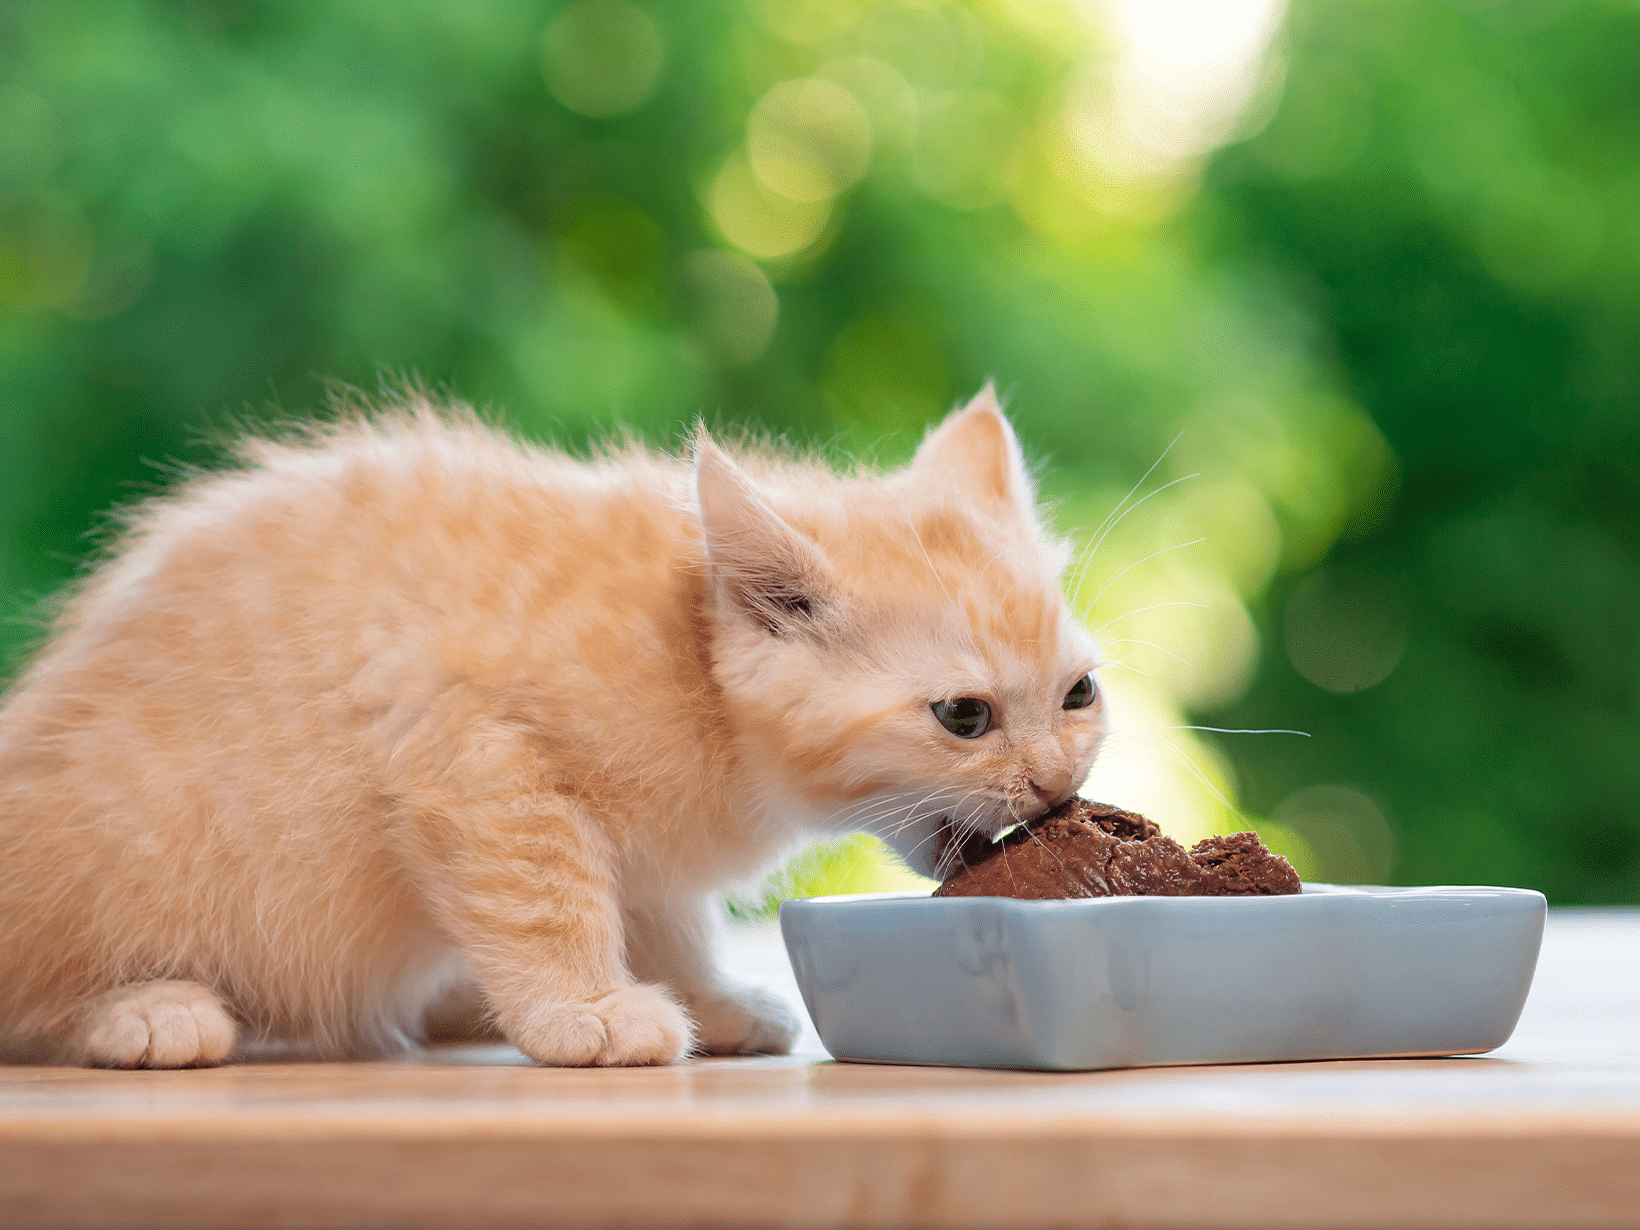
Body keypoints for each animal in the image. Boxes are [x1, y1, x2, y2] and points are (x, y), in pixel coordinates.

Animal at [0, 387, 1108, 1069]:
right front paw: (586, 1010)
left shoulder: (646, 852)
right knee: (33, 998)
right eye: (963, 716)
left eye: (1079, 695)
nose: (1057, 786)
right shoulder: (467, 749)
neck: (691, 677)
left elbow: (663, 918)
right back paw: (149, 1010)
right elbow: (547, 900)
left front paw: (709, 1001)